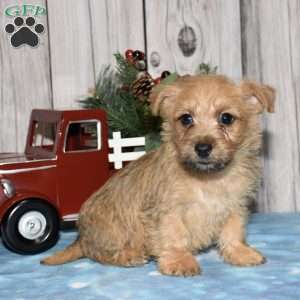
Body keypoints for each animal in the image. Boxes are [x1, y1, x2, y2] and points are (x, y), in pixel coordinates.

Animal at [41, 75, 276, 276]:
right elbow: (175, 235)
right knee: (99, 253)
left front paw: (240, 252)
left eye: (226, 118)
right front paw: (179, 261)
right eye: (186, 119)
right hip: (109, 228)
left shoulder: (235, 206)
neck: (207, 178)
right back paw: (129, 256)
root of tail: (82, 238)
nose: (202, 148)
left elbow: (233, 232)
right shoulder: (168, 211)